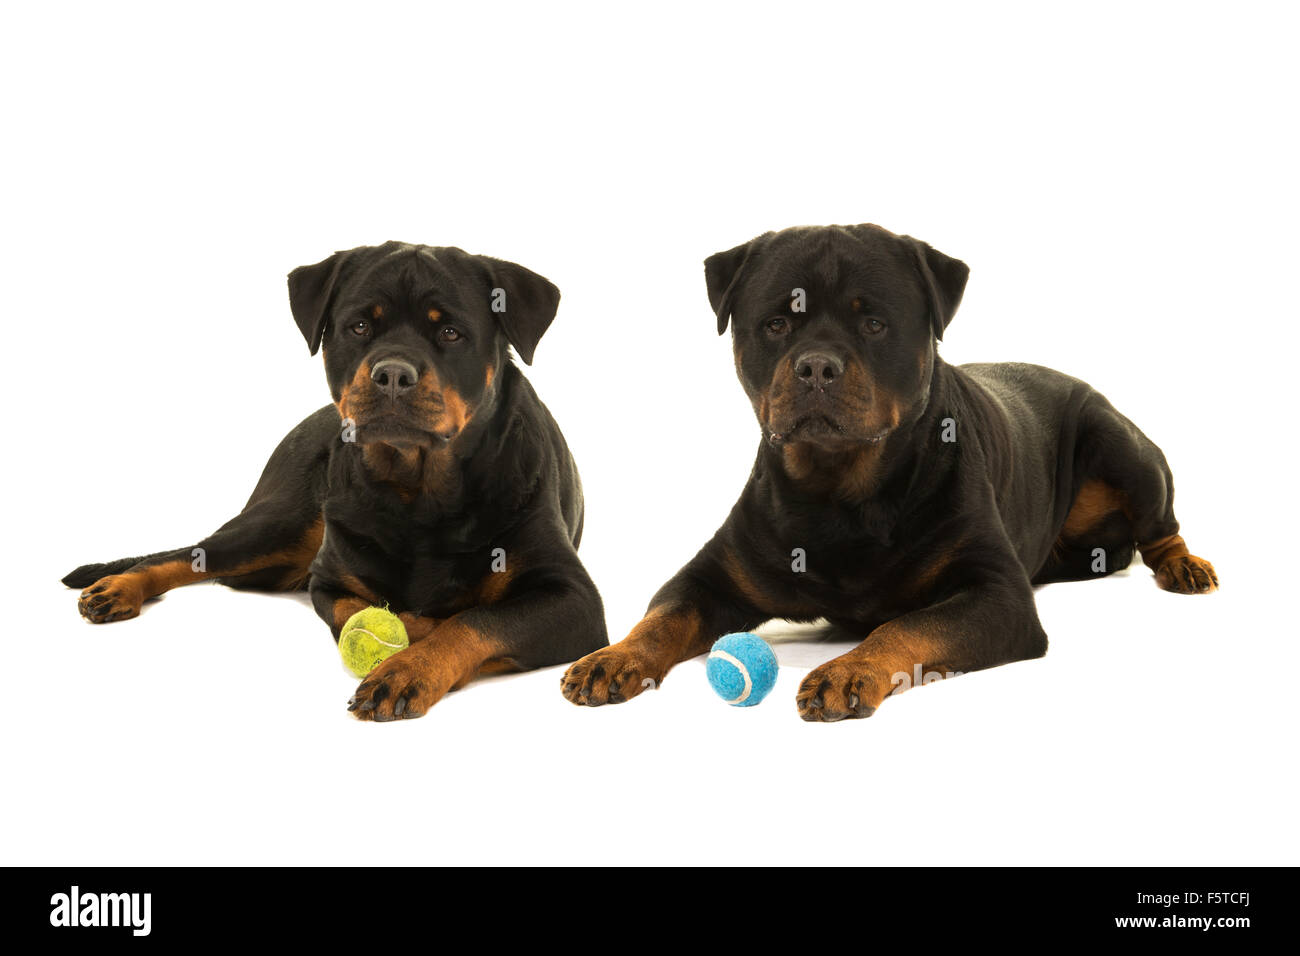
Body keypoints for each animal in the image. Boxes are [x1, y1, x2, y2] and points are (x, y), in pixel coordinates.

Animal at [62, 243, 608, 723]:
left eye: (451, 332)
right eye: (360, 325)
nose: (392, 373)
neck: (418, 496)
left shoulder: (574, 599)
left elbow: (475, 621)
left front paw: (408, 667)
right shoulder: (327, 580)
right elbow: (357, 610)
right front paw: (409, 633)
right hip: (277, 521)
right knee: (188, 554)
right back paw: (117, 587)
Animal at [561, 222, 1216, 717]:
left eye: (873, 323)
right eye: (776, 324)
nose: (816, 366)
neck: (839, 492)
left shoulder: (996, 593)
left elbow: (907, 626)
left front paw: (850, 672)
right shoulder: (713, 574)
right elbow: (663, 617)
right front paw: (611, 658)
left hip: (1119, 442)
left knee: (1160, 525)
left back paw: (1184, 565)